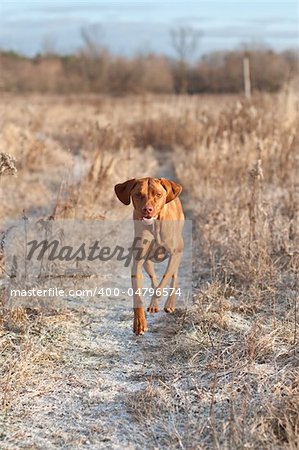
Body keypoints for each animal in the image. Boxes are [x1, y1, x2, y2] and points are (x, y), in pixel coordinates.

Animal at [115, 178, 184, 336]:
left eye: (158, 194)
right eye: (138, 194)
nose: (147, 209)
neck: (154, 226)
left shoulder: (175, 254)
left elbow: (164, 281)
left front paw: (161, 297)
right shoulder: (138, 263)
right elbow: (138, 295)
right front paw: (139, 323)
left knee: (174, 277)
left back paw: (169, 303)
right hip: (148, 263)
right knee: (153, 280)